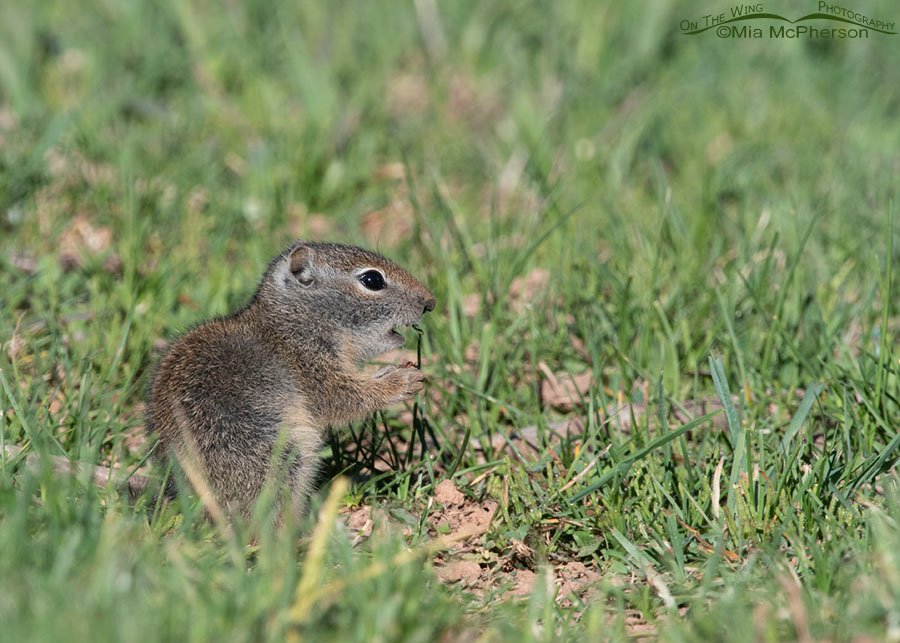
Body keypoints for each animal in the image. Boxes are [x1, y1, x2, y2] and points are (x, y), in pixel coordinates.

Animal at [146, 240, 436, 521]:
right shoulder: (314, 369)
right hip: (282, 455)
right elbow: (347, 398)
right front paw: (404, 380)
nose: (430, 303)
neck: (289, 322)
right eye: (372, 280)